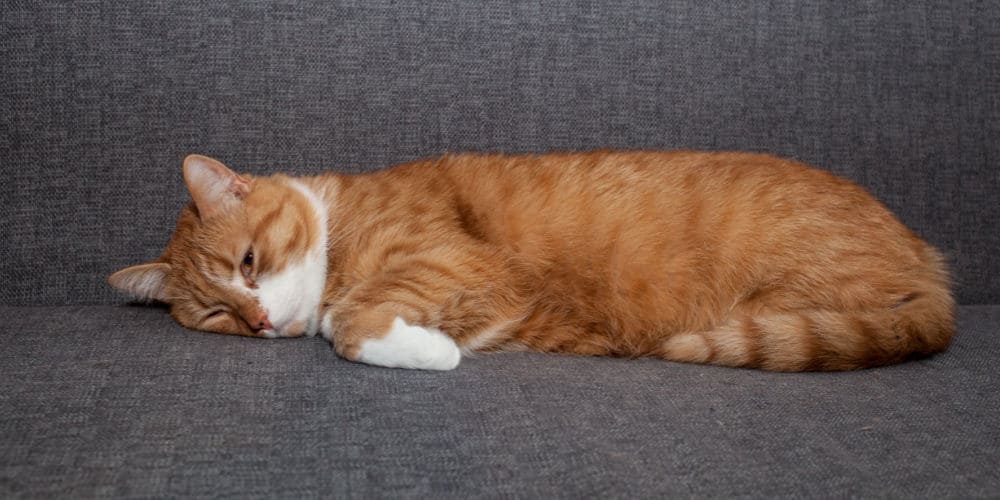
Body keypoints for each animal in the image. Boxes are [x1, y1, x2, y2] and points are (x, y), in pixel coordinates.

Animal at [107, 152, 952, 372]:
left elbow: (352, 318)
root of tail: (931, 263)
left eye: (249, 263)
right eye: (216, 313)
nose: (254, 320)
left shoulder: (466, 264)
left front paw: (433, 350)